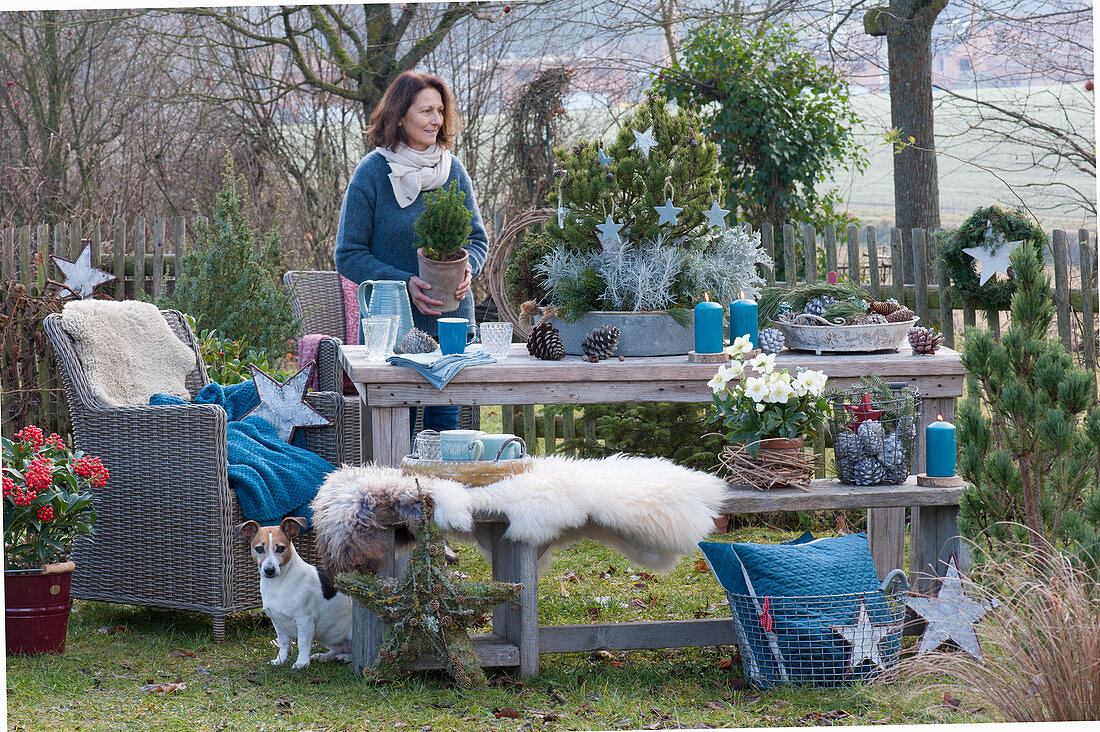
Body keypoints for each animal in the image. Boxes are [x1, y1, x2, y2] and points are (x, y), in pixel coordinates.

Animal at [236, 512, 352, 669]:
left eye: (280, 548)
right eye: (259, 548)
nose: (269, 570)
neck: (279, 584)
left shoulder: (305, 621)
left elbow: (303, 644)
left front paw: (301, 663)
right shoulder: (277, 622)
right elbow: (284, 644)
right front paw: (280, 660)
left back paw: (345, 658)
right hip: (329, 637)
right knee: (338, 650)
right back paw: (324, 656)